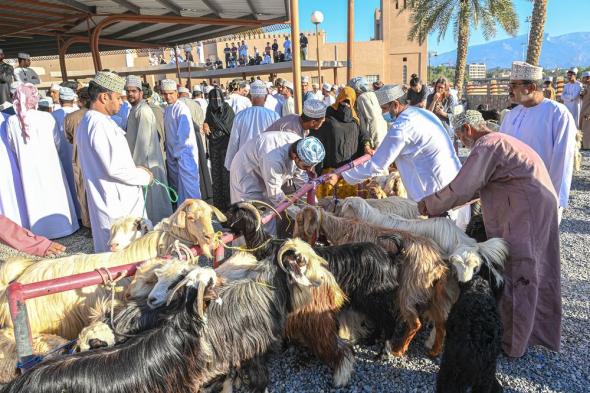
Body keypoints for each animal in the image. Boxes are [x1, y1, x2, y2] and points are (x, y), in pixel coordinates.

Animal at [296, 207, 462, 356]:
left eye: (299, 220)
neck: (343, 229)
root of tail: (438, 263)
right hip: (434, 296)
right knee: (441, 325)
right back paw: (434, 351)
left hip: (407, 293)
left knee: (415, 323)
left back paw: (398, 350)